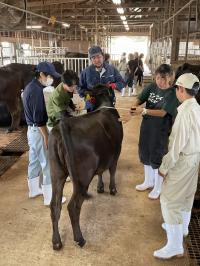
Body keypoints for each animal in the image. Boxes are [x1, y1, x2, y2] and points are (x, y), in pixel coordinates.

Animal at [48, 84, 123, 249]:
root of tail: (63, 125)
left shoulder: (103, 156)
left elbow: (101, 171)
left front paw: (100, 187)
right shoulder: (116, 152)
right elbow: (112, 170)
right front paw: (112, 189)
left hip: (56, 172)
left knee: (54, 205)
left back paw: (56, 242)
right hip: (83, 176)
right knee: (73, 206)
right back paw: (79, 239)